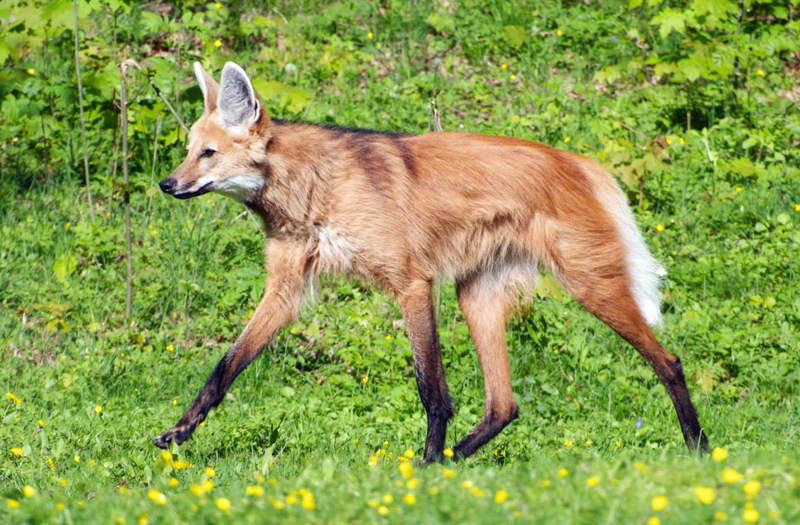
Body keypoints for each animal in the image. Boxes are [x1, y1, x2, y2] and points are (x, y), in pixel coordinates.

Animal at [153, 61, 708, 460]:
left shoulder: (412, 284)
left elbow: (431, 389)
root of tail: (580, 161)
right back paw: (454, 461)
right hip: (476, 294)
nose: (166, 183)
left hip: (589, 285)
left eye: (207, 153)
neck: (310, 190)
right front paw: (177, 433)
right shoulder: (285, 289)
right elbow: (225, 367)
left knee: (670, 361)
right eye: (187, 150)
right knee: (504, 404)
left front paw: (424, 466)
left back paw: (699, 449)